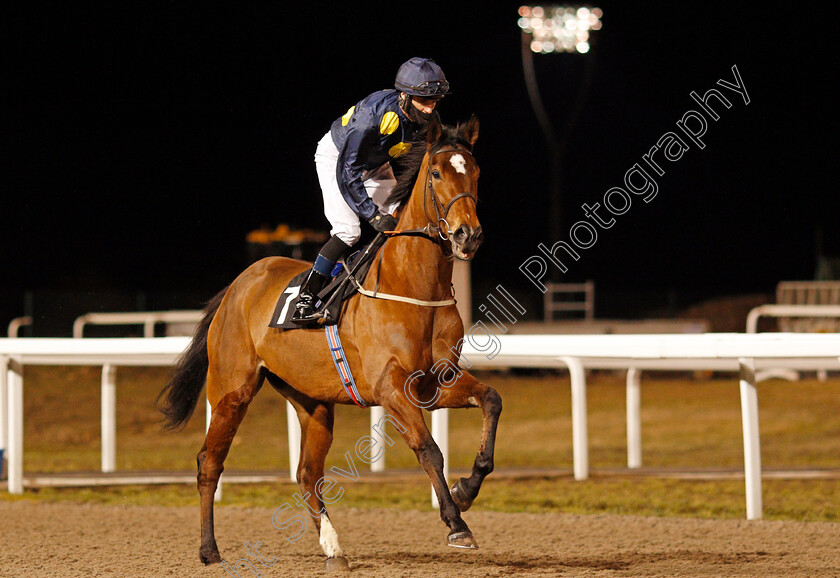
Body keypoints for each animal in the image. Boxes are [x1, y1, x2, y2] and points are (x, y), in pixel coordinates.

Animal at [157, 115, 498, 568]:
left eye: (475, 171)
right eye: (438, 173)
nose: (467, 234)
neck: (413, 287)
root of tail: (237, 285)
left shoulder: (433, 383)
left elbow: (491, 400)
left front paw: (466, 487)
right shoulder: (391, 389)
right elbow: (428, 449)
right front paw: (456, 523)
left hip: (311, 401)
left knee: (307, 473)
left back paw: (333, 547)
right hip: (231, 390)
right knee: (209, 462)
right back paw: (210, 549)